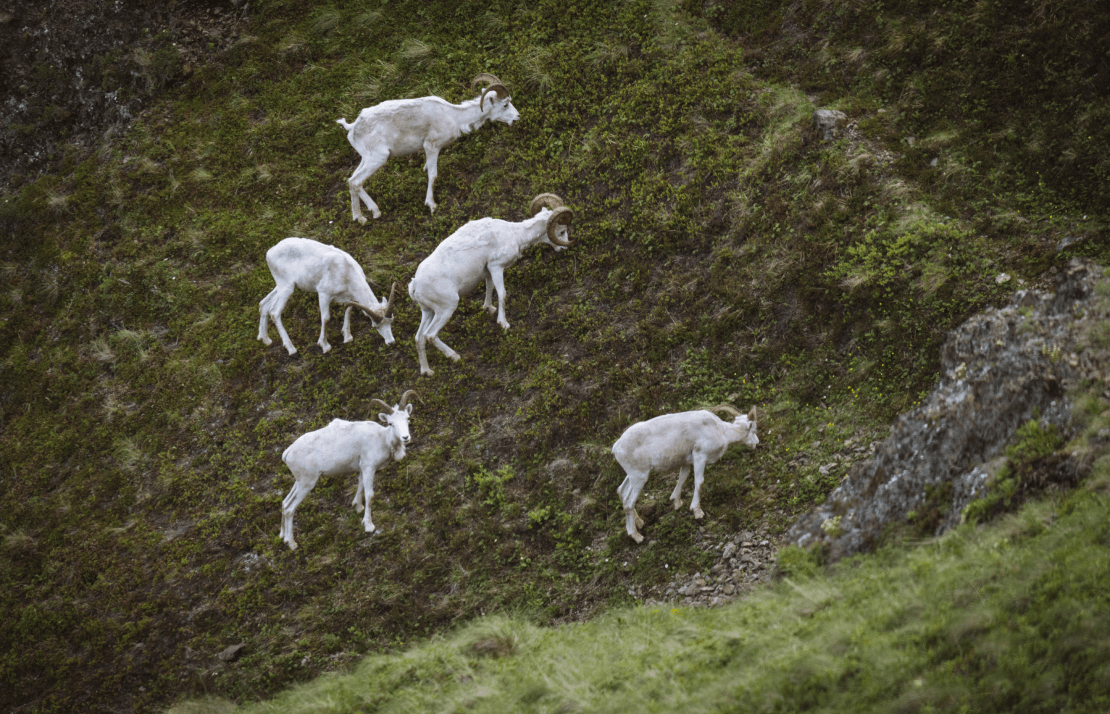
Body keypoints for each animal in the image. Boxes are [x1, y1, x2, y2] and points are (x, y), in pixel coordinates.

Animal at [258, 236, 397, 355]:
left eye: (391, 321)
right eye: (375, 326)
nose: (391, 342)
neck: (345, 270)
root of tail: (269, 253)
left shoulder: (349, 296)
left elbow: (349, 310)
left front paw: (347, 338)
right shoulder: (324, 294)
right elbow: (326, 318)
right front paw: (325, 346)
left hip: (282, 287)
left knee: (264, 304)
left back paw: (266, 340)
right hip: (287, 288)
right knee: (274, 312)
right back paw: (291, 349)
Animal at [279, 390, 419, 551]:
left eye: (407, 418)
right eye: (391, 423)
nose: (406, 437)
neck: (382, 439)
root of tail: (287, 453)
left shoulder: (362, 468)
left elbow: (360, 486)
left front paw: (357, 506)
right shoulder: (369, 468)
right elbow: (370, 495)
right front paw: (369, 526)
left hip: (299, 482)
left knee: (285, 503)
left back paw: (283, 536)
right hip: (307, 484)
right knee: (290, 509)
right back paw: (292, 543)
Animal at [336, 73, 520, 223]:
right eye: (505, 105)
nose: (517, 117)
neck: (454, 116)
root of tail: (352, 127)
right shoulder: (432, 147)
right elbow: (433, 175)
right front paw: (431, 205)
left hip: (366, 159)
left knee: (351, 181)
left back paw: (360, 218)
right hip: (378, 158)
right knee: (356, 181)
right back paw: (375, 212)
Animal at [407, 193, 574, 376]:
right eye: (562, 231)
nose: (564, 249)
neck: (515, 235)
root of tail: (415, 286)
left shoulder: (488, 272)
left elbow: (489, 288)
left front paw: (489, 308)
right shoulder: (496, 267)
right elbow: (502, 294)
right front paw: (504, 323)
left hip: (428, 311)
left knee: (419, 338)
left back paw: (427, 371)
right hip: (447, 307)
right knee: (430, 335)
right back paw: (455, 356)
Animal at [611, 405, 759, 543]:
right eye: (754, 429)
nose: (756, 443)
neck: (721, 431)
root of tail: (616, 447)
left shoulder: (686, 462)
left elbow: (682, 478)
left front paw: (677, 503)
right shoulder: (700, 456)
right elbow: (699, 482)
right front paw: (697, 512)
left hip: (632, 476)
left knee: (621, 492)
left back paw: (640, 523)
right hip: (640, 477)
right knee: (628, 503)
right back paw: (637, 536)